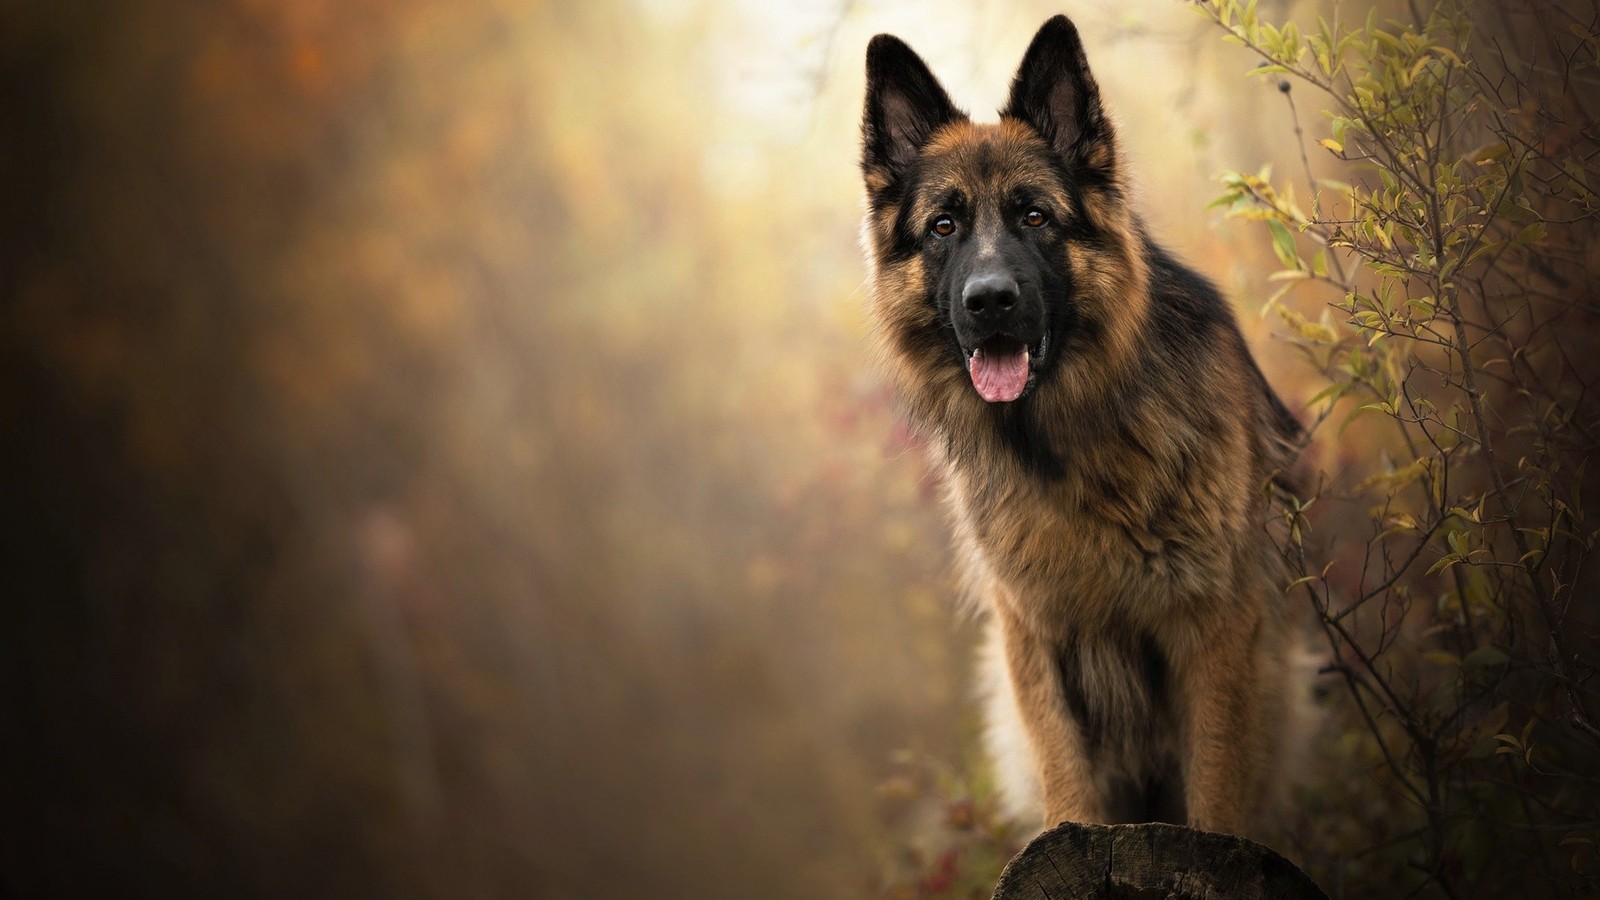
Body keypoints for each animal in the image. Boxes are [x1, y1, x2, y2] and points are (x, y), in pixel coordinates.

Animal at [864, 14, 1299, 832]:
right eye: (943, 226)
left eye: (1035, 216)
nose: (989, 301)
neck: (1070, 437)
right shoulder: (1030, 634)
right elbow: (1064, 772)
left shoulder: (1216, 626)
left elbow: (1217, 781)